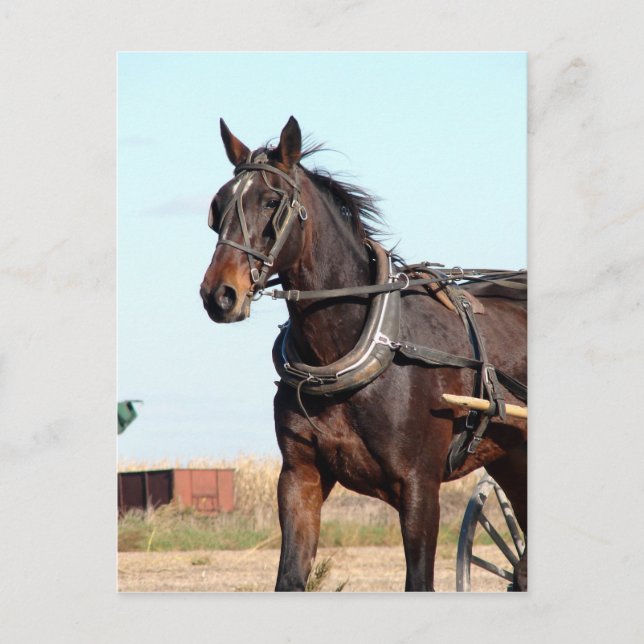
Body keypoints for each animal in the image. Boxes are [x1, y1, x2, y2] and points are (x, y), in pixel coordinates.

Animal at [200, 116, 527, 591]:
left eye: (272, 201)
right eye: (218, 205)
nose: (219, 295)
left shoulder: (420, 488)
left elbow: (418, 582)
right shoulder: (300, 477)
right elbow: (290, 578)